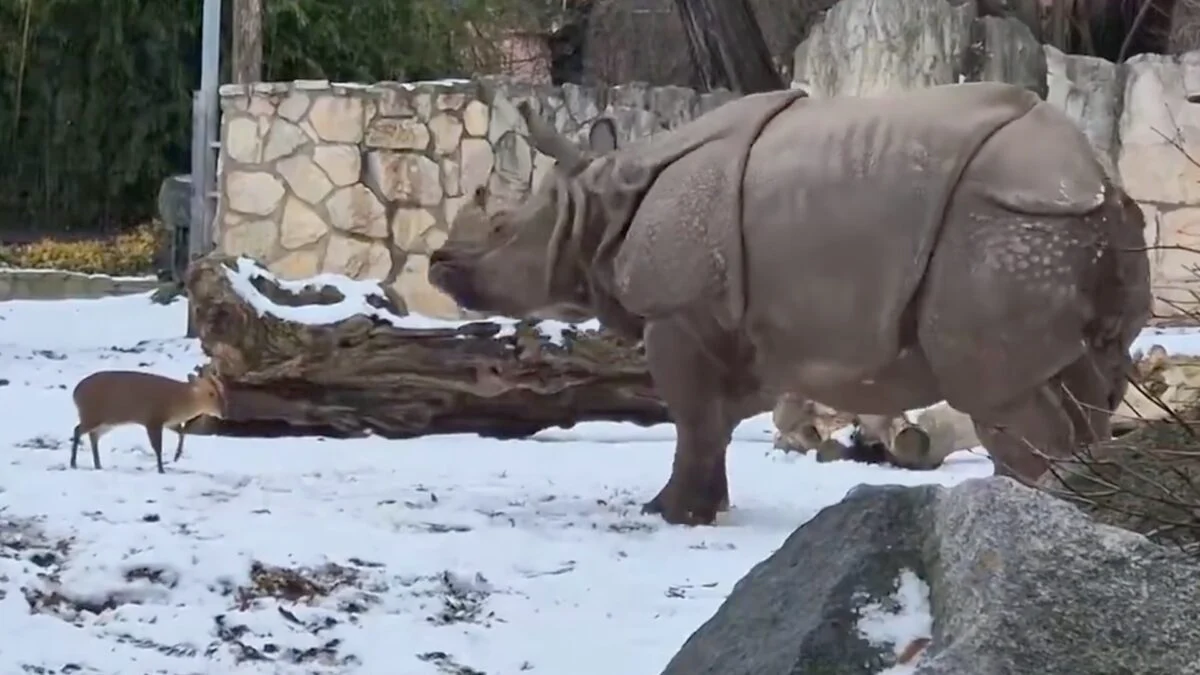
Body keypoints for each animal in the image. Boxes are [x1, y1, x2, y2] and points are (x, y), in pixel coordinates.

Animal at [429, 81, 1153, 526]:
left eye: (499, 228)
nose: (438, 265)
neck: (604, 199)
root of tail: (1097, 175)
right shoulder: (741, 322)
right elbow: (716, 421)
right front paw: (705, 510)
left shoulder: (677, 311)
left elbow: (691, 418)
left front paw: (667, 515)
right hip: (1078, 229)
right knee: (1090, 388)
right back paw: (1096, 523)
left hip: (1009, 223)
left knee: (1003, 396)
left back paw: (1036, 518)